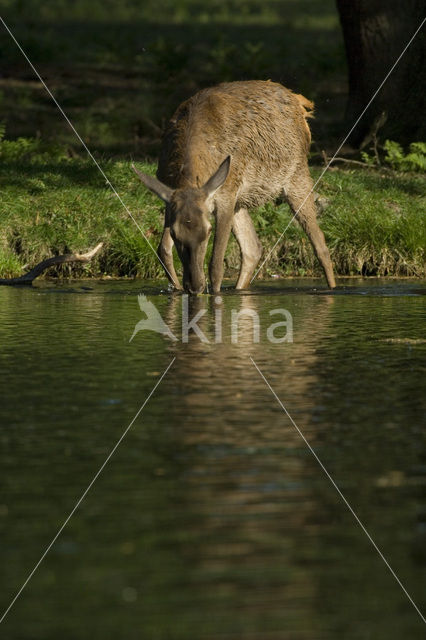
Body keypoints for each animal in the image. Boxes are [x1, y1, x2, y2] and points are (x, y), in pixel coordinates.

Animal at [133, 79, 336, 294]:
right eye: (174, 233)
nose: (195, 285)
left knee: (320, 244)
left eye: (208, 231)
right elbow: (162, 249)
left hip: (297, 174)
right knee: (253, 248)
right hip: (240, 198)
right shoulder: (170, 198)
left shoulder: (225, 196)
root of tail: (300, 102)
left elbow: (216, 265)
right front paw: (178, 289)